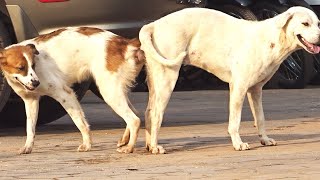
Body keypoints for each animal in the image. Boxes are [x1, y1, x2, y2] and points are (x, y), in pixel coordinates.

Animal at [0, 27, 144, 154]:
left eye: (33, 65)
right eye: (20, 68)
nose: (36, 82)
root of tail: (126, 43)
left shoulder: (65, 95)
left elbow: (80, 122)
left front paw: (87, 144)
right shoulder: (31, 101)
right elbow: (30, 128)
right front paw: (28, 147)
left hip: (109, 92)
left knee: (134, 120)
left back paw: (129, 147)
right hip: (114, 91)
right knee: (134, 113)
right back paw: (124, 140)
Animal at [139, 6, 320, 153]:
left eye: (318, 23)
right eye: (305, 23)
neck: (272, 39)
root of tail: (153, 25)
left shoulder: (255, 90)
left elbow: (260, 118)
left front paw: (264, 139)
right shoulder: (239, 87)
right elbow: (235, 121)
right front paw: (238, 144)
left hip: (156, 80)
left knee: (148, 112)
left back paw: (150, 145)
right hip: (167, 79)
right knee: (156, 113)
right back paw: (156, 146)